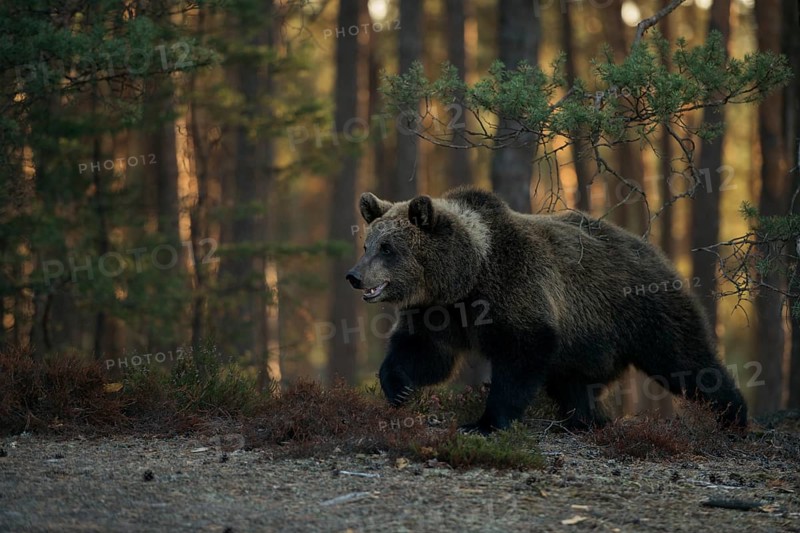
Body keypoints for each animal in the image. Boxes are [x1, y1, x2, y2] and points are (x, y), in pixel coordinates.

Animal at [345, 186, 748, 434]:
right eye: (368, 244)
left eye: (387, 247)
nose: (354, 276)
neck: (467, 275)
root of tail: (653, 249)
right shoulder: (438, 311)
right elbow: (425, 354)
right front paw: (396, 387)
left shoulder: (514, 291)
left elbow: (520, 356)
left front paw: (486, 421)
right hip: (584, 341)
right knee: (572, 382)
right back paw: (584, 419)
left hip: (643, 309)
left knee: (685, 360)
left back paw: (734, 417)